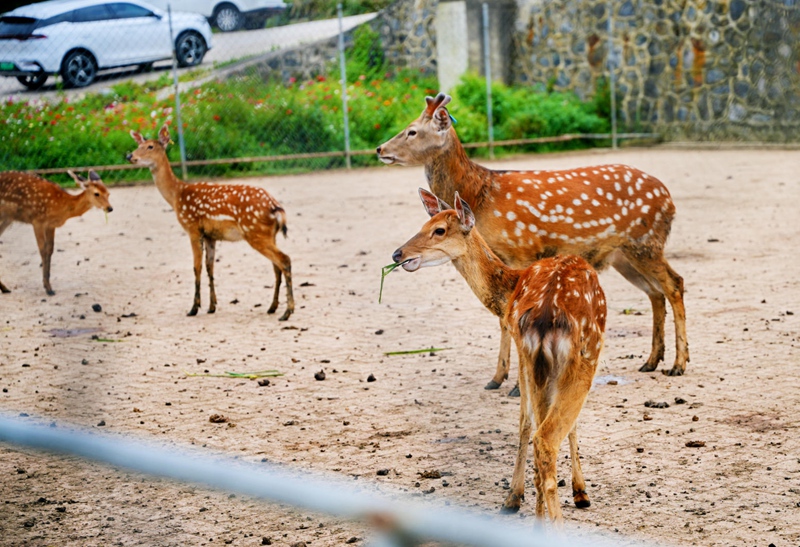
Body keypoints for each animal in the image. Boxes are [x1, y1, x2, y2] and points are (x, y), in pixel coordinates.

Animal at [127, 124, 294, 320]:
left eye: (150, 146)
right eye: (138, 144)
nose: (130, 156)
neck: (177, 195)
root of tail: (276, 207)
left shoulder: (192, 227)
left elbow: (196, 267)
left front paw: (194, 308)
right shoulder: (210, 235)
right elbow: (209, 267)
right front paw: (212, 306)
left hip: (255, 232)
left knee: (284, 260)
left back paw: (287, 312)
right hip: (269, 234)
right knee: (276, 266)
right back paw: (272, 307)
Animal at [377, 93, 687, 389]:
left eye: (412, 130)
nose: (380, 149)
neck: (480, 194)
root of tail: (669, 199)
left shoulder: (521, 249)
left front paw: (513, 383)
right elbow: (503, 320)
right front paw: (496, 378)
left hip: (645, 242)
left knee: (674, 284)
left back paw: (678, 364)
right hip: (623, 255)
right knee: (654, 292)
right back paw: (651, 361)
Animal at [392, 188, 606, 523]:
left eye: (438, 229)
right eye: (425, 224)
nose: (397, 254)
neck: (509, 291)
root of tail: (546, 312)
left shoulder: (526, 354)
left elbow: (529, 420)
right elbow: (538, 422)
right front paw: (576, 493)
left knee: (540, 431)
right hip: (584, 354)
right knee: (545, 435)